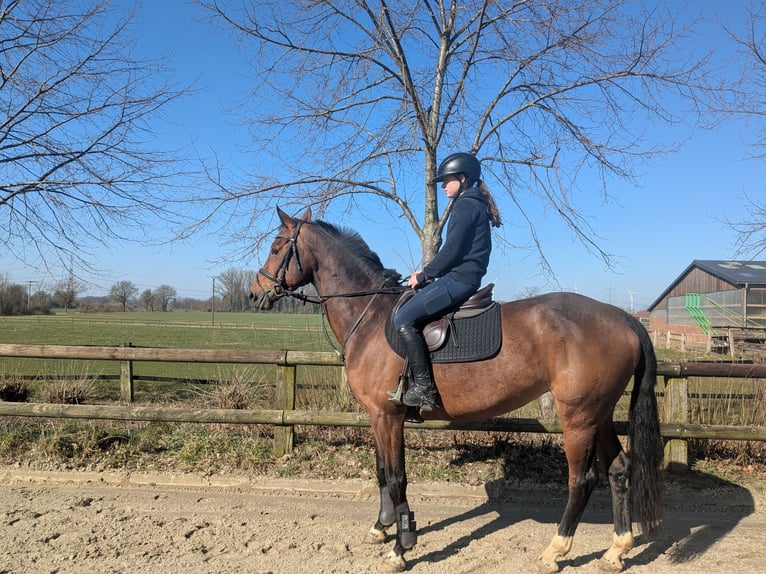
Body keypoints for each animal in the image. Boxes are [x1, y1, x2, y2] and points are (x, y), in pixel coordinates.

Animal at [252, 208, 664, 574]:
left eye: (275, 246)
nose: (256, 293)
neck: (369, 315)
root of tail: (622, 317)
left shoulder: (387, 415)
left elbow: (397, 477)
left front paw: (402, 547)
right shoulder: (375, 415)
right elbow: (383, 471)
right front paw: (381, 527)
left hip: (577, 417)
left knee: (583, 479)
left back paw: (554, 551)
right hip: (600, 413)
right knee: (618, 470)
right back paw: (615, 551)